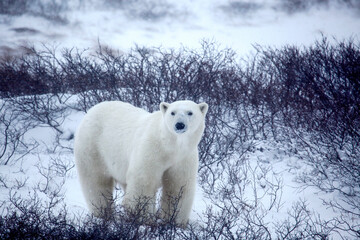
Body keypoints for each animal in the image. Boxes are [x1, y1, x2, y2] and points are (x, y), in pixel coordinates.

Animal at [74, 100, 208, 227]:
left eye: (190, 112)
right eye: (172, 112)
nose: (179, 125)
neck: (170, 146)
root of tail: (92, 109)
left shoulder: (183, 158)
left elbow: (178, 187)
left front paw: (175, 221)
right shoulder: (151, 150)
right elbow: (143, 182)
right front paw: (144, 219)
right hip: (92, 147)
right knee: (95, 180)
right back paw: (102, 212)